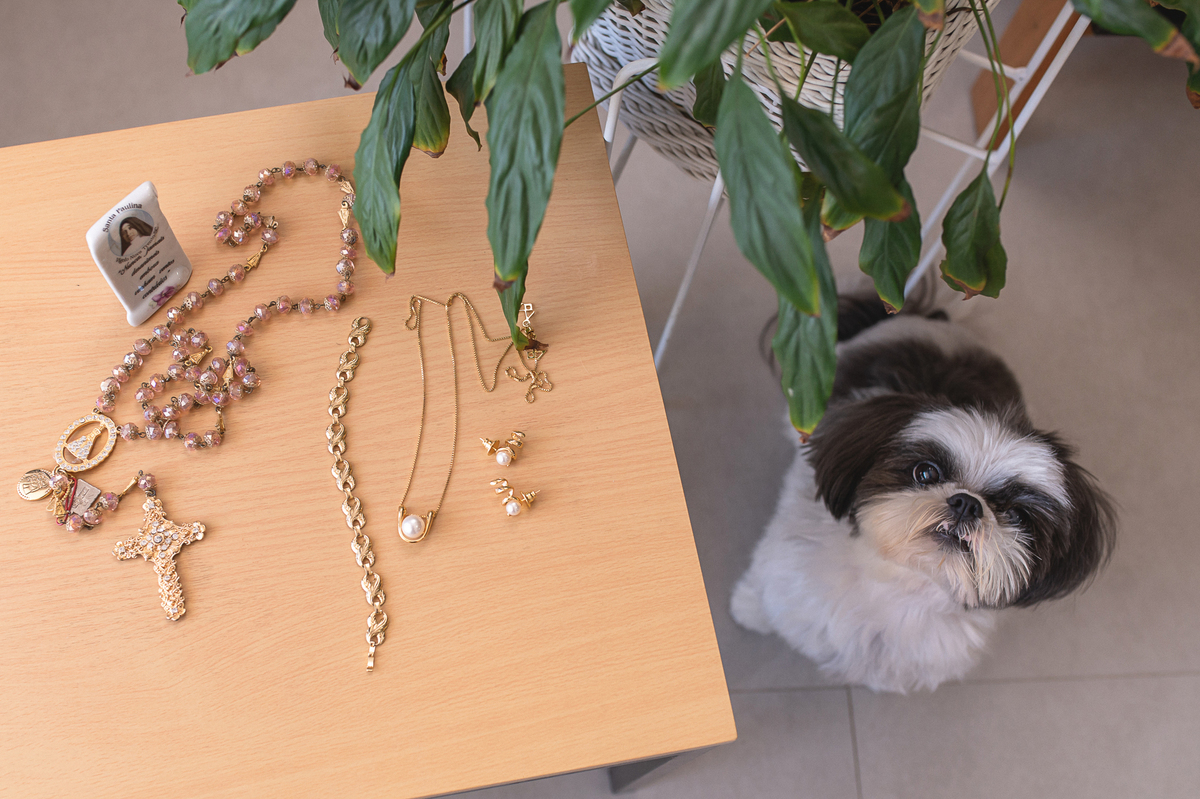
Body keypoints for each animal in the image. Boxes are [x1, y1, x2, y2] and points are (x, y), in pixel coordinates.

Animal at [731, 298, 1116, 692]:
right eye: (925, 472)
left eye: (1016, 515)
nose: (967, 503)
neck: (896, 583)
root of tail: (930, 317)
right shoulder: (788, 568)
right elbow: (766, 587)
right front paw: (750, 608)